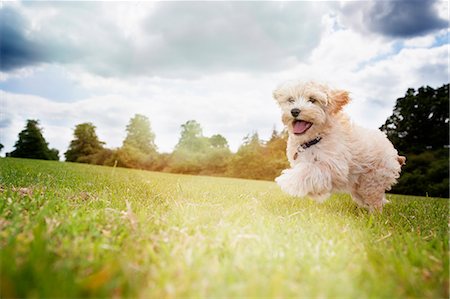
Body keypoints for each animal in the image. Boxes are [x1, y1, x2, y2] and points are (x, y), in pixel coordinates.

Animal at [272, 81, 406, 212]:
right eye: (290, 100)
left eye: (312, 100)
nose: (294, 111)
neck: (314, 139)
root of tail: (395, 155)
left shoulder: (334, 166)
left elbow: (310, 170)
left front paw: (288, 181)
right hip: (359, 187)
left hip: (372, 181)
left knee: (376, 201)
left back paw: (374, 216)